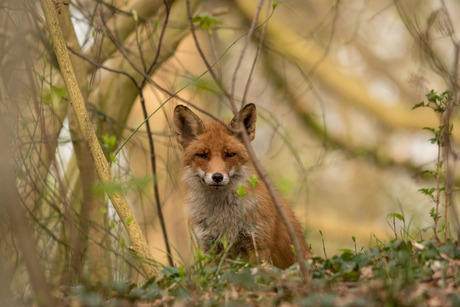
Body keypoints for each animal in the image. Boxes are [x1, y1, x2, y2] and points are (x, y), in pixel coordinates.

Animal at [174, 103, 310, 270]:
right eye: (202, 156)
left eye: (230, 155)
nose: (217, 177)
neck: (222, 216)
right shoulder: (212, 248)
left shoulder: (258, 244)